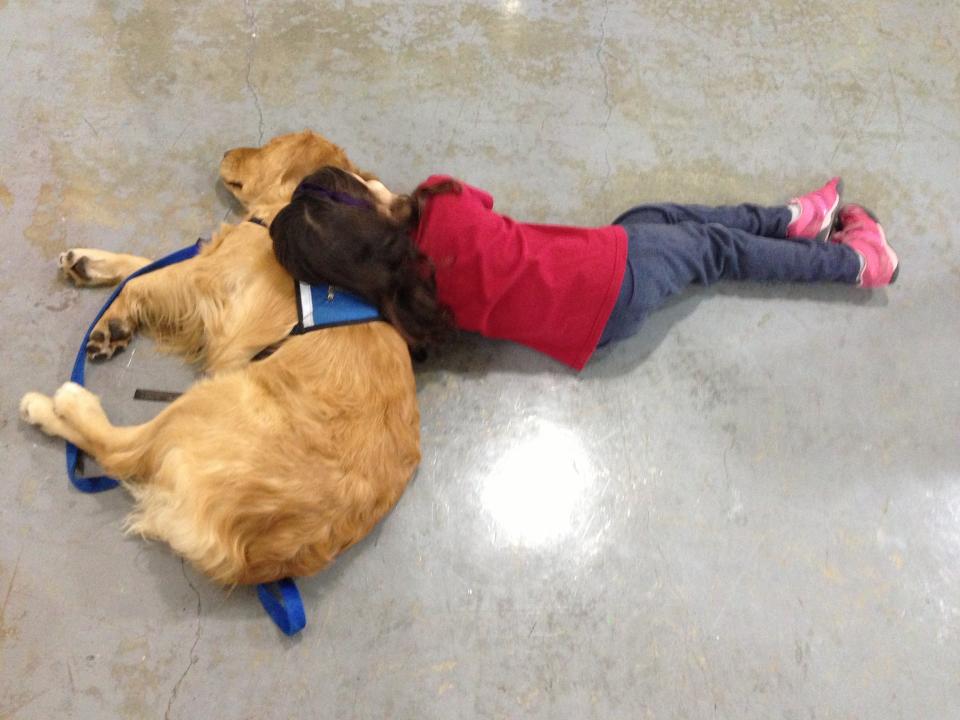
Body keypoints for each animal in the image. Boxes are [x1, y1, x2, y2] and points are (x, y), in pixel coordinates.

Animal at [20, 132, 418, 588]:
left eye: (272, 143)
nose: (227, 151)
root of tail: (252, 560)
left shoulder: (210, 278)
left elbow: (143, 278)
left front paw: (112, 315)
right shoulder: (208, 265)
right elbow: (142, 265)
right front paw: (92, 274)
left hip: (211, 398)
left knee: (122, 450)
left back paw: (57, 405)